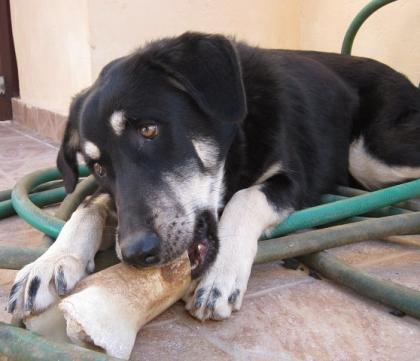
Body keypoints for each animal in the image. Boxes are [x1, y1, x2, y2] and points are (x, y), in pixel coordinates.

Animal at [9, 32, 420, 320]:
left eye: (148, 130)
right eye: (98, 167)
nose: (136, 254)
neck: (237, 137)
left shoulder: (291, 180)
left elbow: (244, 198)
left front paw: (219, 276)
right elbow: (88, 205)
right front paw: (49, 261)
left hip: (369, 153)